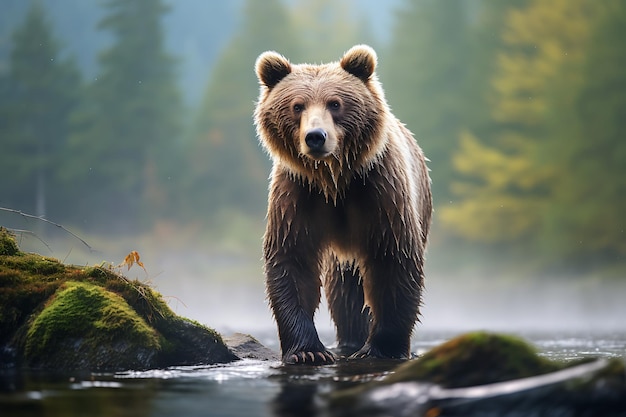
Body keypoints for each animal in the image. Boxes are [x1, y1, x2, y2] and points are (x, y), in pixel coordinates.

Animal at [252, 46, 428, 364]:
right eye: (297, 106)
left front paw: (383, 348)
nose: (315, 136)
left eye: (335, 103)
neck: (334, 180)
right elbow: (292, 260)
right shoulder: (297, 195)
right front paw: (308, 351)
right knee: (344, 292)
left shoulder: (380, 192)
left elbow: (394, 259)